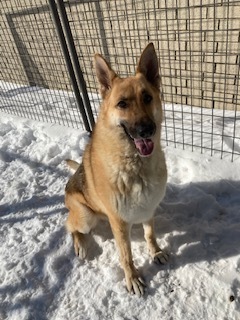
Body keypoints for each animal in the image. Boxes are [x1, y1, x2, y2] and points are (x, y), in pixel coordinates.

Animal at [64, 43, 168, 298]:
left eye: (147, 97)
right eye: (122, 104)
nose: (147, 130)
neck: (134, 165)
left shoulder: (149, 209)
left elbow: (150, 234)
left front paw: (155, 252)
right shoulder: (120, 224)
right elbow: (126, 255)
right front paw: (133, 279)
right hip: (85, 216)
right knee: (70, 226)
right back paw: (80, 245)